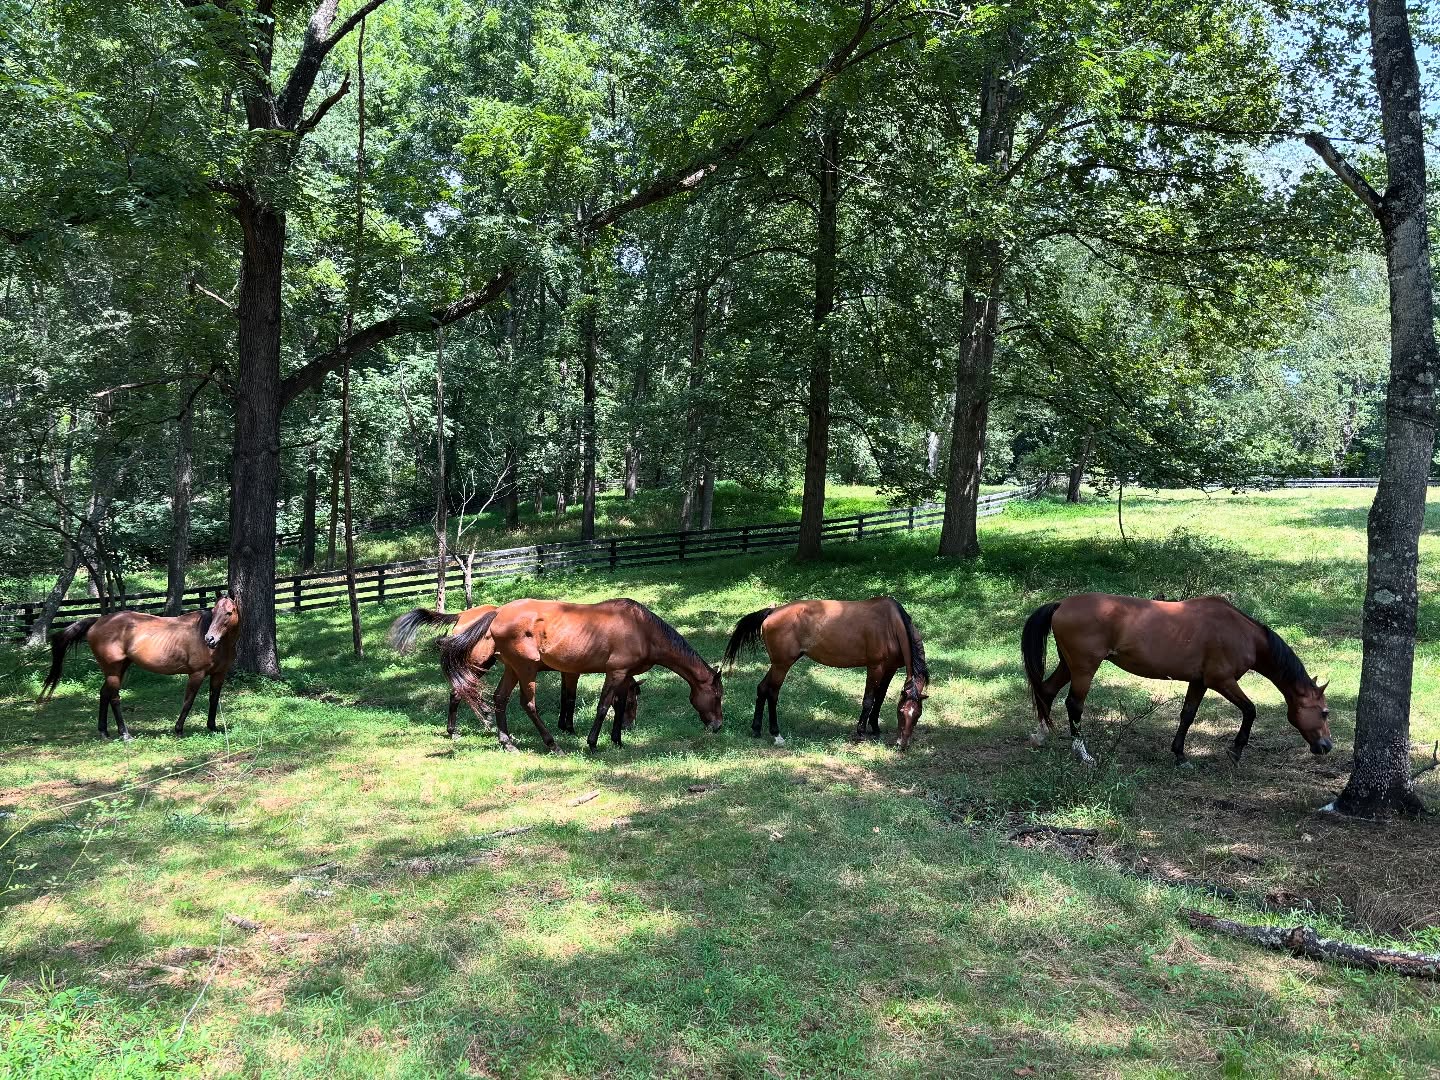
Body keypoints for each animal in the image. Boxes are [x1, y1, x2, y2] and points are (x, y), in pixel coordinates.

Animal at [37, 596, 243, 740]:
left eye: (229, 612)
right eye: (213, 611)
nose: (210, 639)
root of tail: (98, 621)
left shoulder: (219, 674)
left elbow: (213, 699)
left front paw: (213, 727)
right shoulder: (196, 674)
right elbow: (188, 701)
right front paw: (178, 729)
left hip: (119, 668)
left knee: (104, 694)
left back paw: (104, 732)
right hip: (113, 670)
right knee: (114, 698)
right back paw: (125, 734)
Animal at [388, 606, 640, 739]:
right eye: (631, 702)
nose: (629, 725)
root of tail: (462, 615)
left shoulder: (564, 672)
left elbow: (564, 697)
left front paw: (563, 726)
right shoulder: (572, 673)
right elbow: (570, 698)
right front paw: (568, 728)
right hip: (480, 664)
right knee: (459, 692)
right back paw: (457, 730)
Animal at [437, 598, 723, 752]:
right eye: (718, 696)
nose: (718, 726)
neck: (642, 629)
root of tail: (496, 613)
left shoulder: (623, 676)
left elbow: (616, 706)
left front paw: (617, 740)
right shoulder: (615, 673)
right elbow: (603, 707)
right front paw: (593, 742)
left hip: (511, 669)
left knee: (499, 699)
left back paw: (507, 742)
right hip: (525, 669)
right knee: (527, 704)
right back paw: (552, 744)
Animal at [723, 597, 929, 748]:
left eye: (917, 715)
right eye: (901, 713)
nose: (902, 744)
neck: (891, 625)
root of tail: (772, 612)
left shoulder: (890, 669)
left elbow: (879, 699)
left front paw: (875, 729)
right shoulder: (875, 667)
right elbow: (868, 700)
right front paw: (861, 732)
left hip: (778, 664)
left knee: (762, 688)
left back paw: (757, 729)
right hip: (782, 665)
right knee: (772, 692)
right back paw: (776, 734)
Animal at [1021, 593, 1332, 766]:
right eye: (1324, 712)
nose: (1327, 746)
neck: (1242, 633)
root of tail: (1061, 604)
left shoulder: (1200, 682)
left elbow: (1187, 715)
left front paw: (1180, 756)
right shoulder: (1222, 681)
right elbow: (1250, 710)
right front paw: (1235, 751)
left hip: (1068, 665)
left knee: (1046, 691)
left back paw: (1040, 737)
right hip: (1084, 669)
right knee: (1074, 705)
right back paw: (1082, 755)